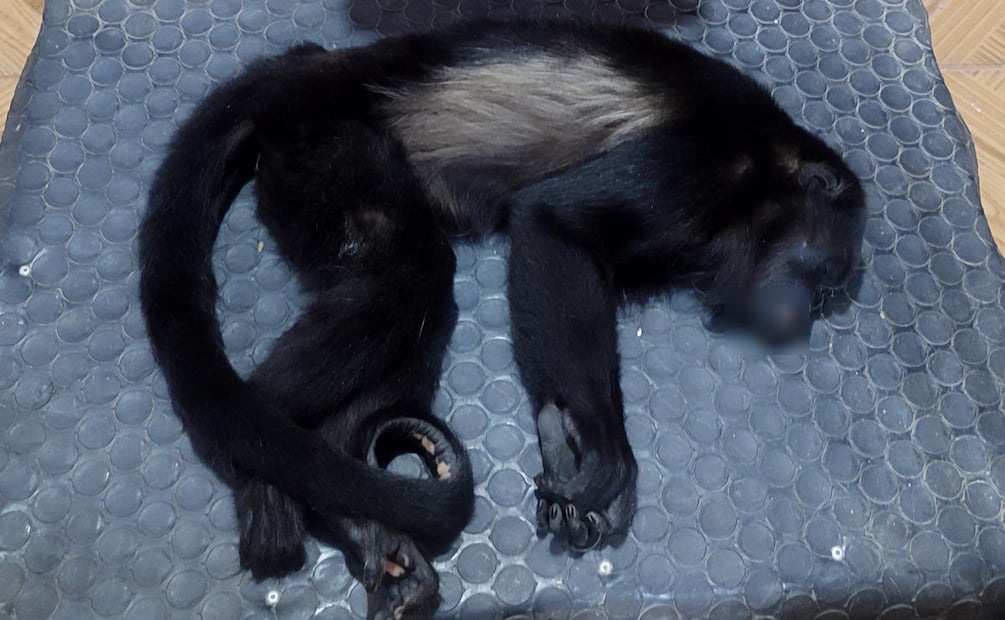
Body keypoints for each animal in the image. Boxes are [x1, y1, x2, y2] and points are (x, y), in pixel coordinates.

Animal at [138, 19, 866, 619]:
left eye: (825, 298)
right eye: (822, 278)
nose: (797, 321)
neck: (767, 172)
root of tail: (310, 68)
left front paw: (575, 457)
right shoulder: (698, 162)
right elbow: (550, 221)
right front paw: (605, 446)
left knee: (414, 304)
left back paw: (367, 523)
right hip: (321, 146)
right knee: (407, 274)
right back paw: (263, 478)